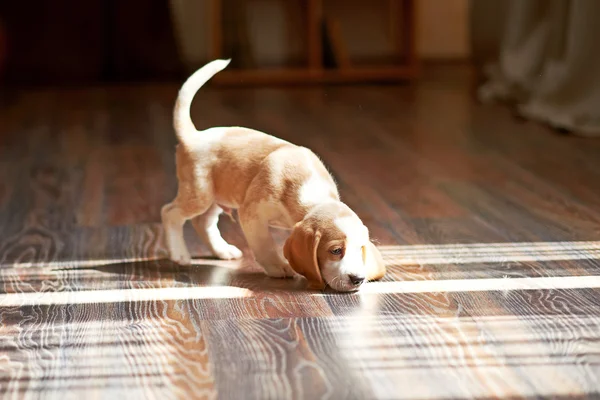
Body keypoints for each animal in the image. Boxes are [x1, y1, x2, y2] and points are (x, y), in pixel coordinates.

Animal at [161, 59, 384, 290]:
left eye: (360, 249)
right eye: (336, 251)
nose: (358, 279)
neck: (311, 192)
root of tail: (194, 137)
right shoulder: (252, 214)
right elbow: (264, 244)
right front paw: (277, 267)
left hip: (217, 197)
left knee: (203, 223)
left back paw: (222, 250)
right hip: (199, 195)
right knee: (170, 212)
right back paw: (179, 253)